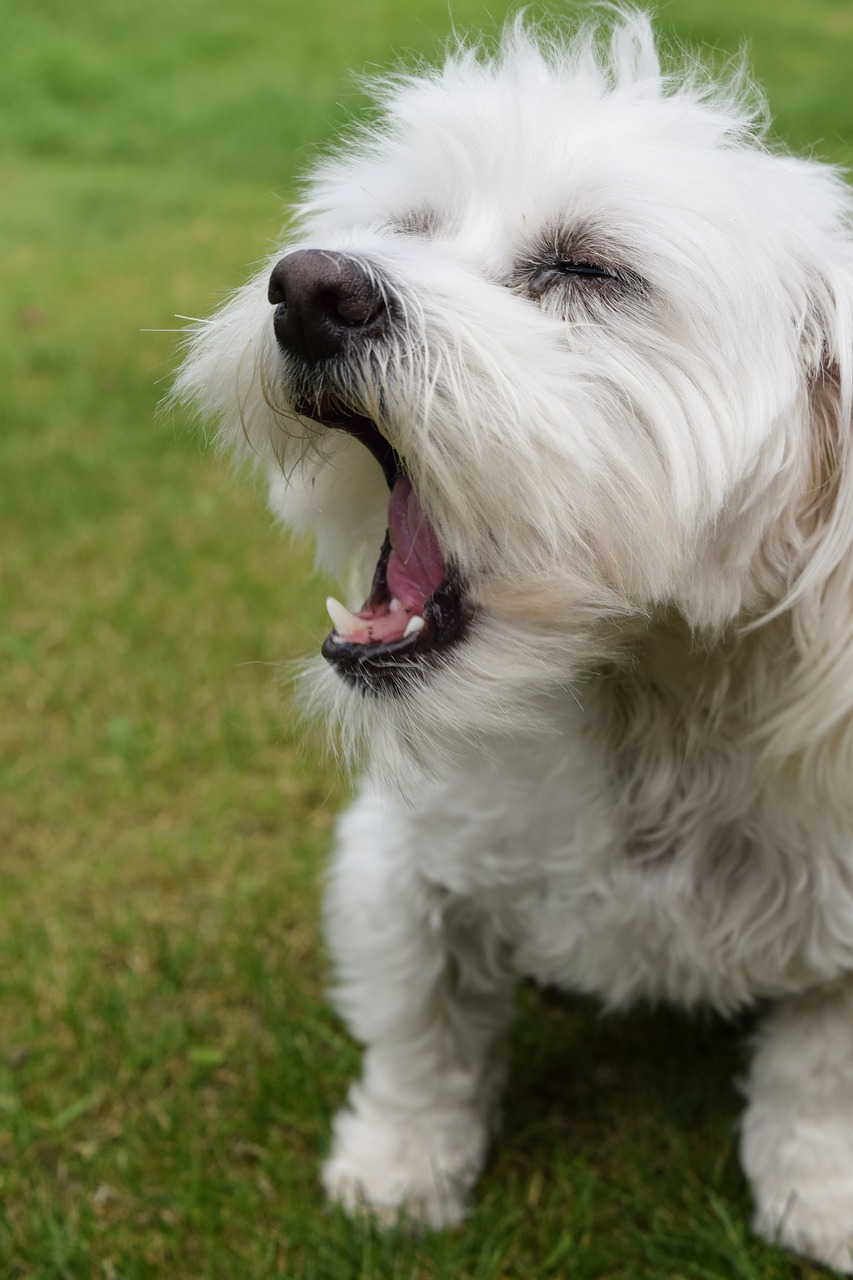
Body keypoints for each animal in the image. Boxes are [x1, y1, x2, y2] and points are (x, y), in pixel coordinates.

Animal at [175, 15, 850, 1274]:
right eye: (407, 225)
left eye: (587, 270)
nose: (311, 286)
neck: (638, 710)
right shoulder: (404, 856)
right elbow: (422, 1033)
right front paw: (399, 1167)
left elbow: (819, 1073)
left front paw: (821, 1192)